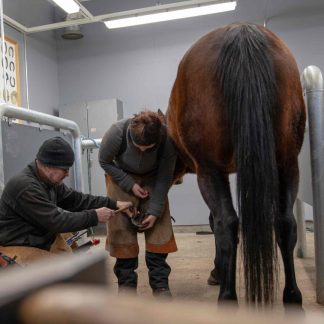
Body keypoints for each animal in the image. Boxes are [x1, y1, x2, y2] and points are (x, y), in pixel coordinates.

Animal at [167, 22, 306, 306]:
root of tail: (242, 33)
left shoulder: (211, 170)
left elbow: (215, 222)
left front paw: (217, 272)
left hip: (210, 171)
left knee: (227, 223)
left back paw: (228, 296)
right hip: (287, 163)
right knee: (285, 223)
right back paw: (292, 296)